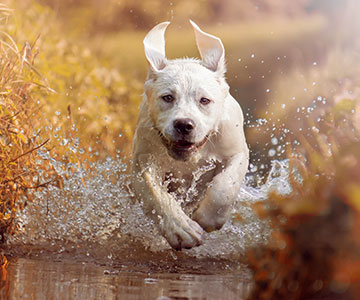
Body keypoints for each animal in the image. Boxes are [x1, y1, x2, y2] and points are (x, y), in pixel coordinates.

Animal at [131, 21, 249, 250]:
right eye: (167, 97)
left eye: (204, 100)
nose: (184, 125)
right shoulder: (143, 162)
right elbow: (156, 194)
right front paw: (180, 229)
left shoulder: (237, 152)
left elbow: (225, 185)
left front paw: (208, 217)